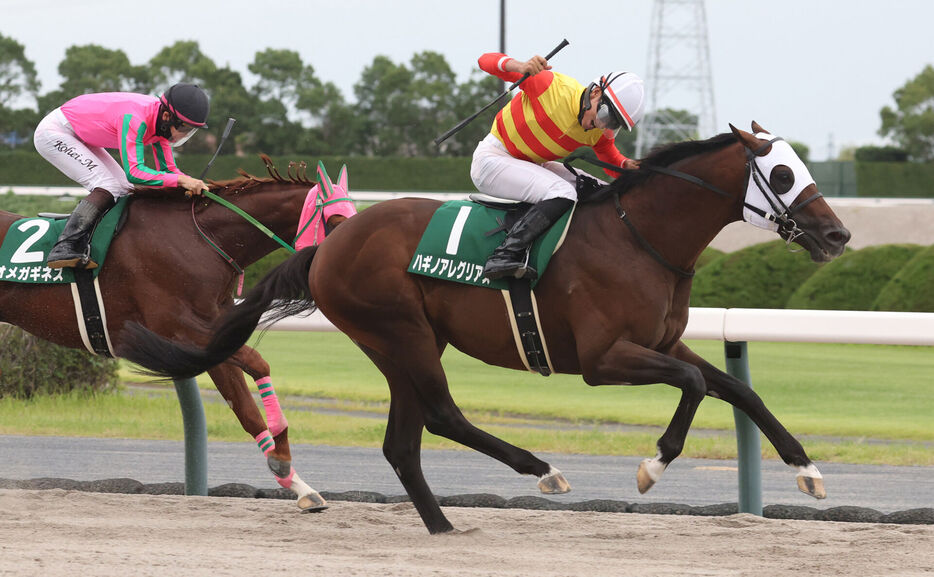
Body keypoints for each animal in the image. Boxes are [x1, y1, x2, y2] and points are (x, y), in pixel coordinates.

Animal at [1, 156, 352, 508]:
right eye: (335, 222)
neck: (202, 240)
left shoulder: (215, 337)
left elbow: (246, 410)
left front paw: (296, 482)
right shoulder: (178, 329)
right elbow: (257, 363)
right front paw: (282, 444)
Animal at [119, 124, 856, 532]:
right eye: (782, 171)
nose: (838, 235)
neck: (639, 236)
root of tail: (328, 244)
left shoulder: (661, 339)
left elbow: (737, 389)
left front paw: (809, 471)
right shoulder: (604, 357)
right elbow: (694, 387)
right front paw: (652, 464)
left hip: (402, 341)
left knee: (403, 441)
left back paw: (445, 526)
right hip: (401, 332)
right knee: (442, 414)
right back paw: (542, 470)